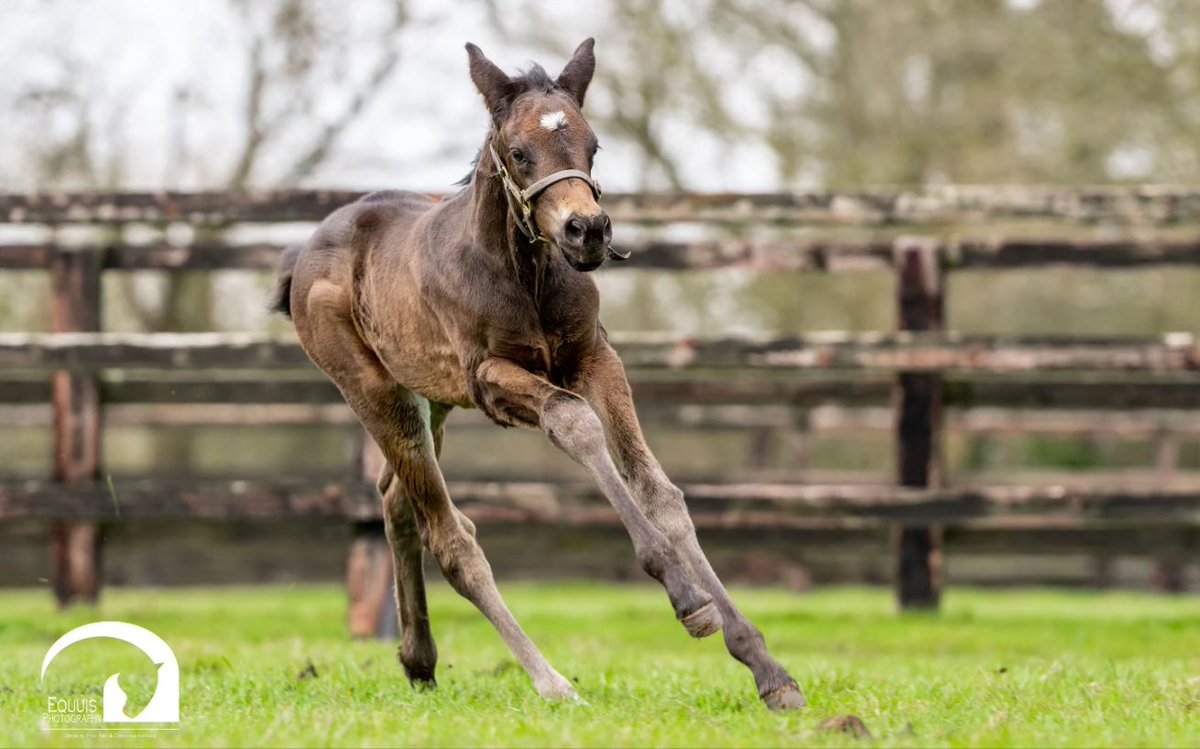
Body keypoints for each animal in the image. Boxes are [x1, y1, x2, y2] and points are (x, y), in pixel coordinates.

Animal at [270, 38, 804, 711]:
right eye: (520, 153)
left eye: (593, 146)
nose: (588, 230)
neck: (524, 276)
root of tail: (304, 251)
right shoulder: (492, 379)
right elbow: (575, 426)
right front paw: (688, 599)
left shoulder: (594, 358)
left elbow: (658, 491)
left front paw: (766, 667)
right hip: (373, 390)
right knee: (452, 539)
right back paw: (551, 682)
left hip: (429, 399)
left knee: (397, 504)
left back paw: (420, 662)